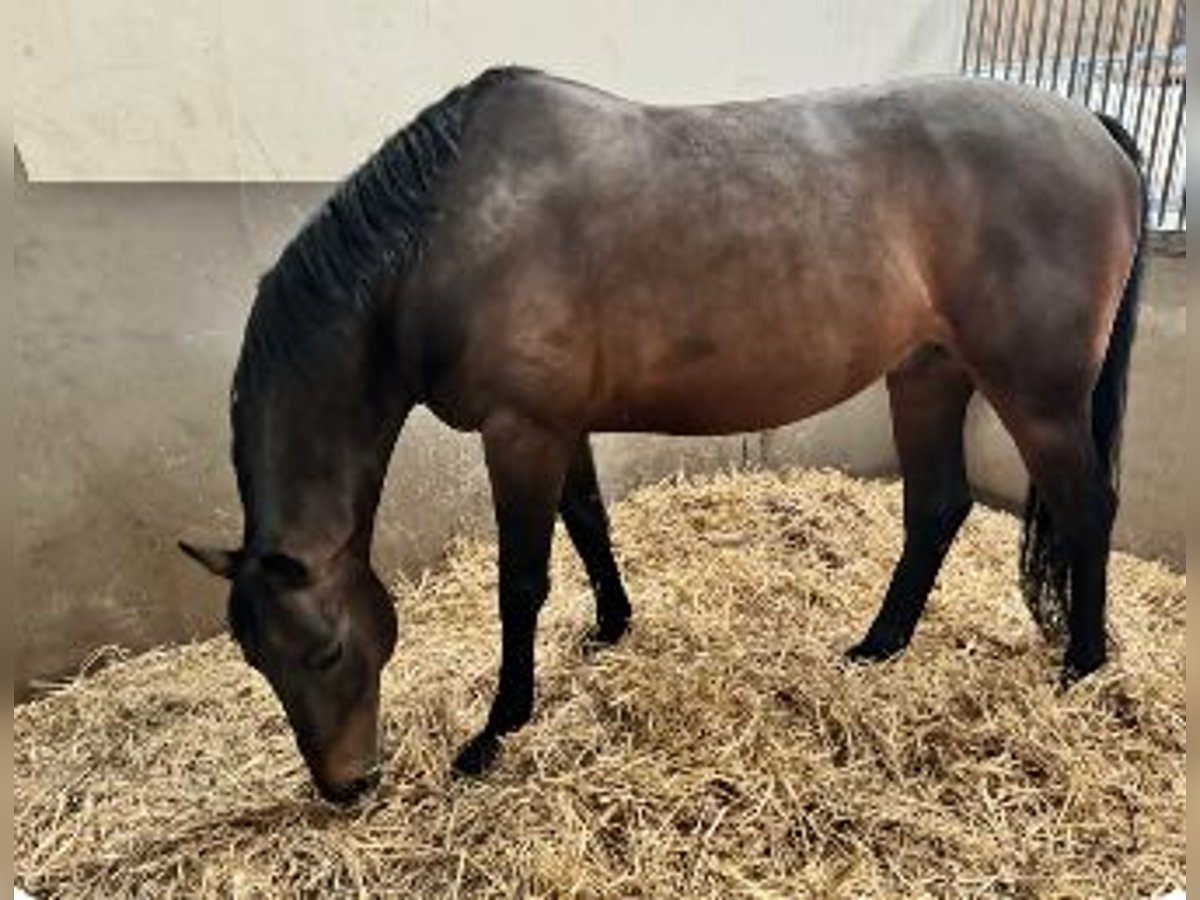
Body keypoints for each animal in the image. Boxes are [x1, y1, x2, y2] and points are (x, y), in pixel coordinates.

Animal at [177, 68, 1142, 801]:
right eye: (257, 662)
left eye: (327, 650)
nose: (345, 786)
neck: (444, 239)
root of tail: (1089, 126)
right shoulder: (558, 428)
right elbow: (589, 523)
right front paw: (611, 627)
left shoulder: (520, 432)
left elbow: (521, 583)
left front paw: (497, 729)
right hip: (930, 372)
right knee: (937, 507)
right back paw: (878, 645)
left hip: (1037, 395)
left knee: (1087, 507)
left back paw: (1084, 666)